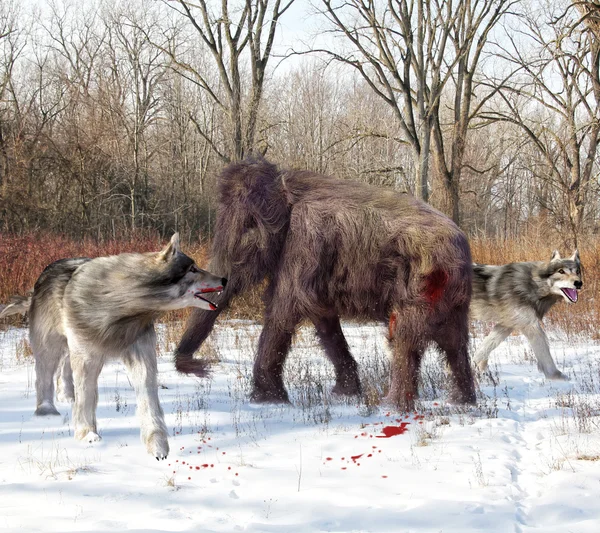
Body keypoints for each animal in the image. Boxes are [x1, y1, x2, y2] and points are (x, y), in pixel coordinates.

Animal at [0, 235, 225, 460]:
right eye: (192, 269)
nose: (224, 280)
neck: (122, 308)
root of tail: (43, 274)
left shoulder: (142, 355)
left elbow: (149, 402)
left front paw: (158, 446)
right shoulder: (87, 358)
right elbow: (86, 398)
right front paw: (87, 435)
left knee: (64, 368)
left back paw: (67, 396)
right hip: (50, 347)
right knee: (44, 377)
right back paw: (46, 412)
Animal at [171, 156, 476, 410]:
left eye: (247, 230)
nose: (200, 367)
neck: (286, 185)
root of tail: (463, 248)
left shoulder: (305, 240)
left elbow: (285, 307)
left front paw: (267, 401)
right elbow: (322, 316)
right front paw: (344, 394)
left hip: (423, 283)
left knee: (403, 336)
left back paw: (392, 407)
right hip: (451, 296)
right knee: (454, 343)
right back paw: (461, 402)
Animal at [472, 249, 584, 378]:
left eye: (577, 271)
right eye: (561, 271)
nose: (579, 283)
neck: (532, 285)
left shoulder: (506, 326)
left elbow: (484, 349)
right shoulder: (530, 326)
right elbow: (545, 355)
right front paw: (558, 378)